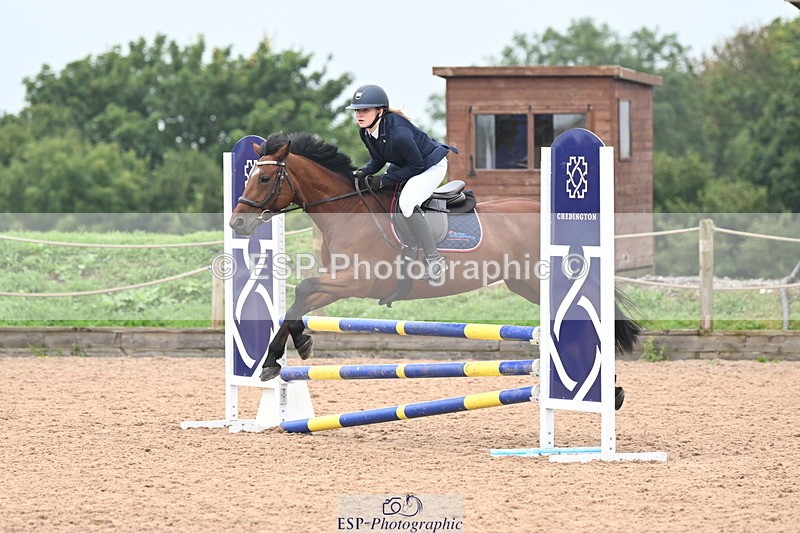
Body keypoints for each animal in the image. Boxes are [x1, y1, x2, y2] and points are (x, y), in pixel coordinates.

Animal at [230, 132, 641, 382]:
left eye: (263, 179)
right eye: (248, 176)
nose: (237, 223)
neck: (347, 210)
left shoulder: (357, 281)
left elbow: (304, 287)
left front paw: (283, 353)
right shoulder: (340, 283)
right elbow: (300, 299)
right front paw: (287, 350)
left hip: (542, 281)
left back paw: (607, 386)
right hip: (523, 283)